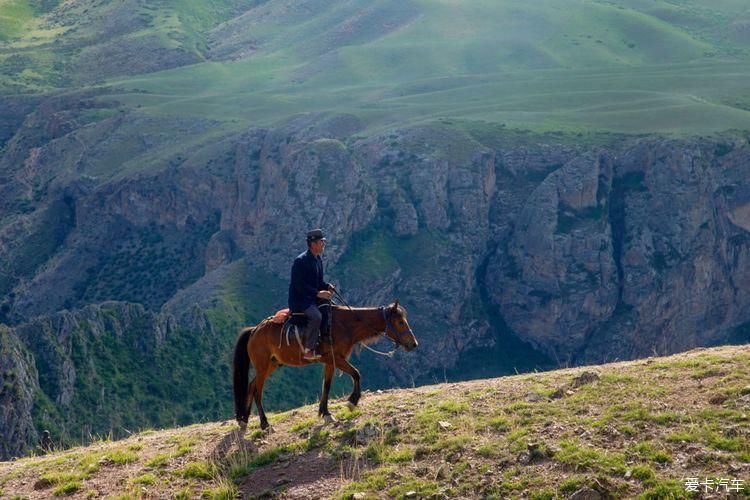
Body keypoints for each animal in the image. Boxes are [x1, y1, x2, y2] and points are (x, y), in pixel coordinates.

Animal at [232, 300, 418, 430]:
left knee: (251, 386)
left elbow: (327, 385)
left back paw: (244, 420)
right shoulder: (336, 358)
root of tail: (254, 330)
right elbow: (356, 373)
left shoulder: (331, 361)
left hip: (271, 365)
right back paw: (265, 423)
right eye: (400, 322)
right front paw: (352, 401)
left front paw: (325, 413)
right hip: (263, 366)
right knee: (257, 390)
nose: (413, 344)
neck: (346, 325)